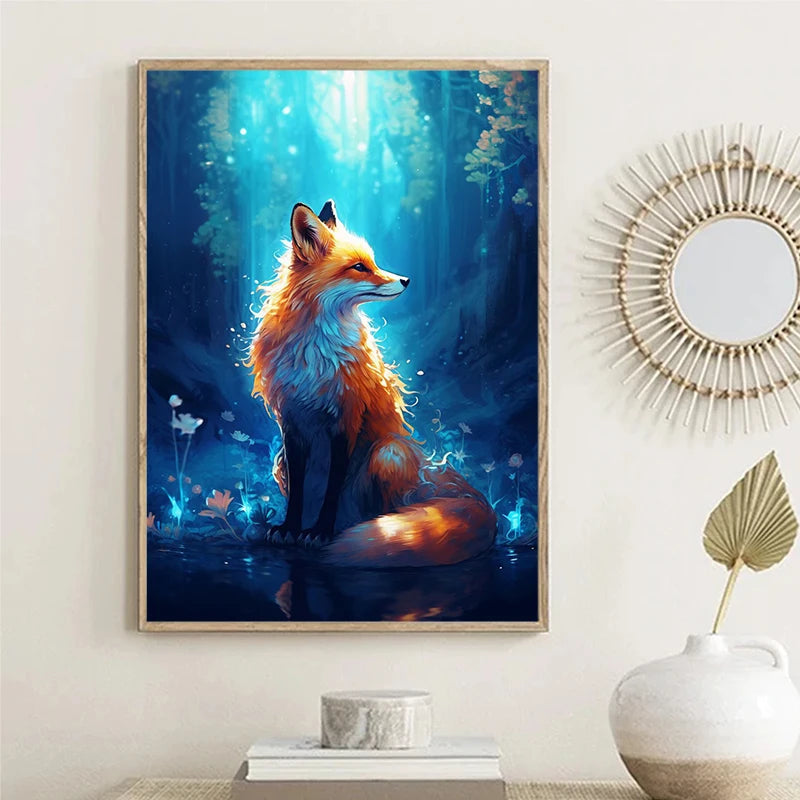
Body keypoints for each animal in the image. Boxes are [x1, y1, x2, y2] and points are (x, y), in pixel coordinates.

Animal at [246, 200, 496, 567]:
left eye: (372, 262)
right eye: (359, 267)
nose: (406, 279)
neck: (315, 351)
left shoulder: (347, 417)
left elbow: (334, 484)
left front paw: (320, 533)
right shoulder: (291, 421)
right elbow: (298, 491)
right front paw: (290, 528)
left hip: (388, 452)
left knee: (383, 512)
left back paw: (369, 533)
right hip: (280, 462)